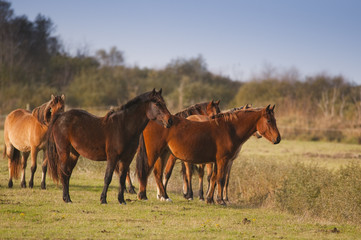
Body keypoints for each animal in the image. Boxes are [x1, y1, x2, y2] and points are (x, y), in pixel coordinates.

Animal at [136, 105, 280, 204]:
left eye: (275, 120)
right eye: (268, 121)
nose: (278, 139)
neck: (229, 129)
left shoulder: (218, 161)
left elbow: (214, 178)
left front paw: (210, 199)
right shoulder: (223, 160)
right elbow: (220, 179)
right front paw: (220, 200)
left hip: (164, 153)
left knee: (158, 173)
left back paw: (165, 197)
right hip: (155, 153)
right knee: (148, 171)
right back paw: (143, 195)